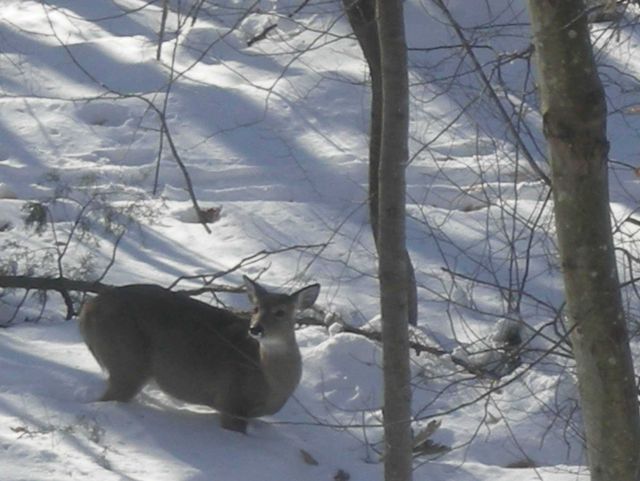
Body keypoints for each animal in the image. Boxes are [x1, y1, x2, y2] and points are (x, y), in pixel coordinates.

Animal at [78, 276, 320, 433]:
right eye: (255, 308)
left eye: (281, 312)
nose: (256, 329)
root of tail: (87, 309)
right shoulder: (232, 401)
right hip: (127, 358)